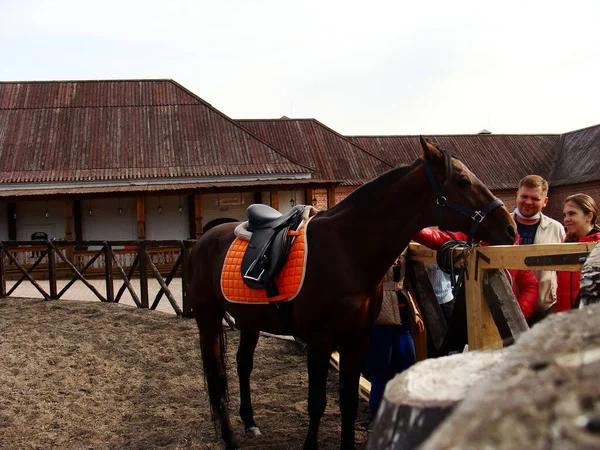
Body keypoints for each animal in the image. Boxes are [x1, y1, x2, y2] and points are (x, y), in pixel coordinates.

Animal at [188, 138, 516, 450]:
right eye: (462, 181)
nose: (510, 228)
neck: (346, 249)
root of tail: (204, 239)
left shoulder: (357, 340)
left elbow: (347, 401)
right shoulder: (320, 342)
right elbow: (317, 402)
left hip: (250, 321)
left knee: (243, 365)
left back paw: (250, 423)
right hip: (209, 318)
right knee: (217, 377)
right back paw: (229, 438)